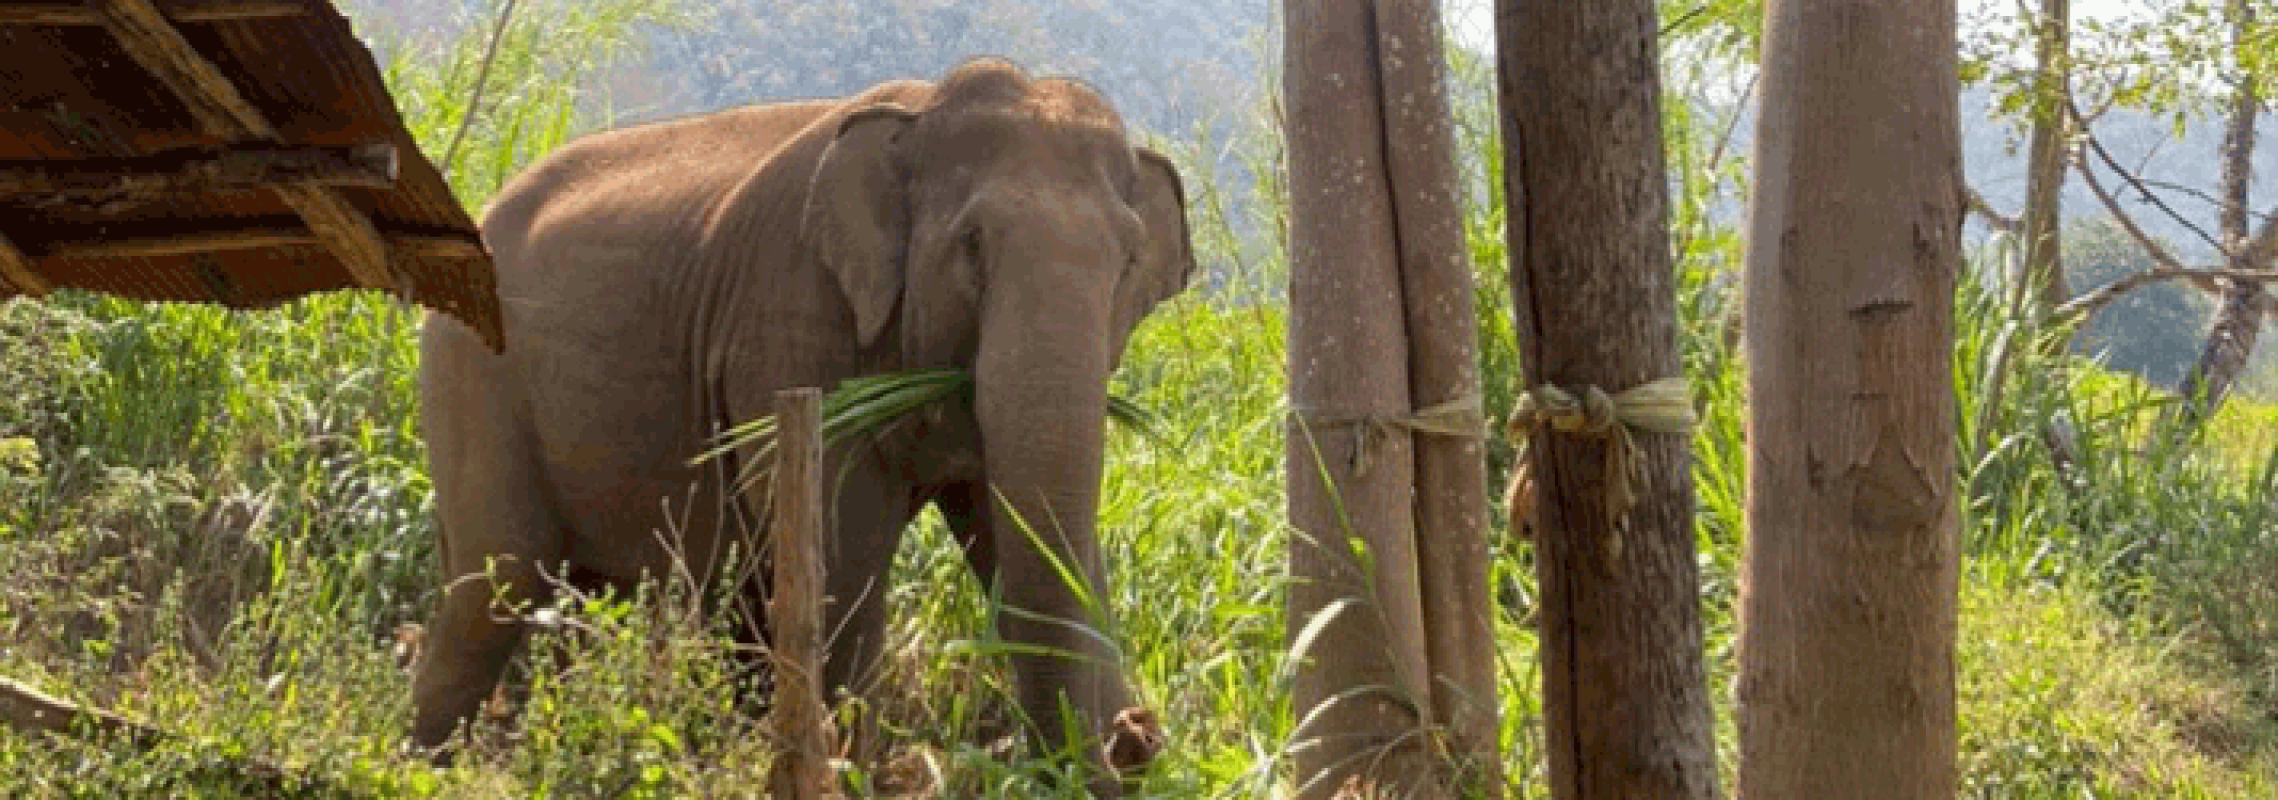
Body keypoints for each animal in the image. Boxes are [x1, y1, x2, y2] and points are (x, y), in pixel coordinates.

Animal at [409, 58, 1193, 790]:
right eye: (971, 243)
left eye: (1129, 260)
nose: (1138, 736)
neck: (922, 111)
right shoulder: (792, 319)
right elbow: (844, 554)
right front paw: (848, 773)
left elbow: (1010, 530)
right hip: (471, 372)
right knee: (498, 582)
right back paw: (423, 763)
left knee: (593, 595)